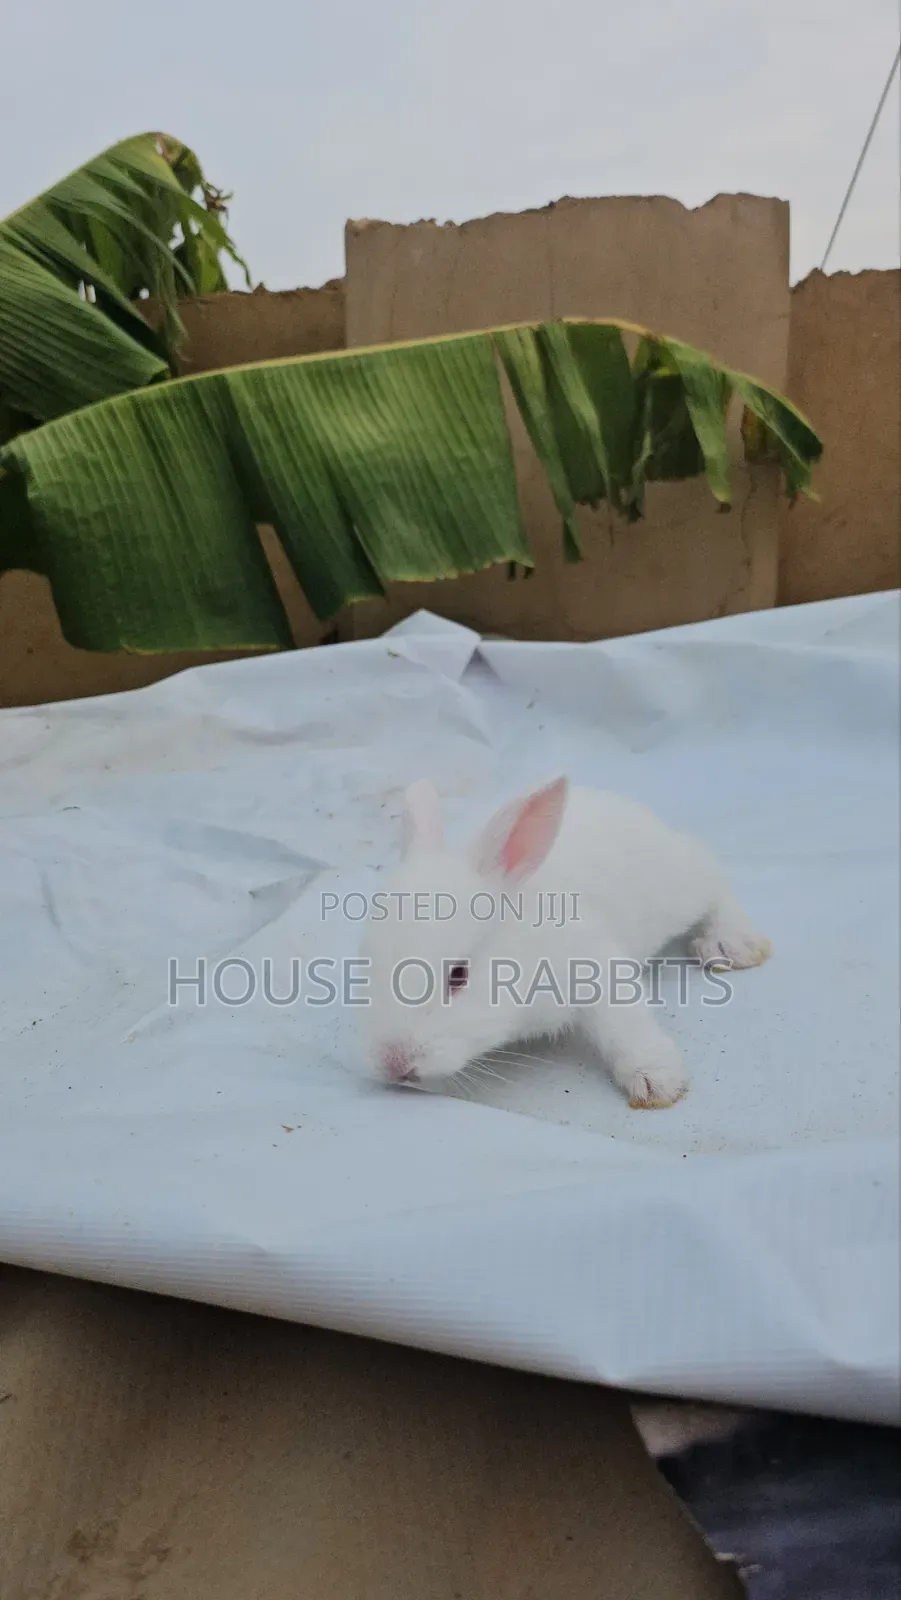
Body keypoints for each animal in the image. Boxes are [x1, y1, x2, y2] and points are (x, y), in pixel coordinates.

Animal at [356, 776, 771, 1107]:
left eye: (458, 976)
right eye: (366, 967)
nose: (394, 1063)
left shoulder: (592, 964)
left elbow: (624, 1023)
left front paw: (657, 1081)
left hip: (678, 888)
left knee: (710, 871)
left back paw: (731, 944)